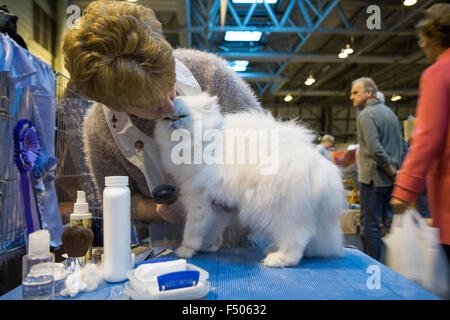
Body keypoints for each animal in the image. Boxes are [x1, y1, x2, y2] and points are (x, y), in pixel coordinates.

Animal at [153, 92, 346, 268]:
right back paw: (273, 250)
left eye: (182, 116)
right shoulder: (217, 205)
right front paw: (208, 246)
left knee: (297, 241)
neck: (202, 142)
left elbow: (192, 231)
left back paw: (278, 259)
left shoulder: (197, 200)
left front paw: (185, 250)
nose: (172, 120)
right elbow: (212, 228)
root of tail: (317, 167)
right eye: (165, 117)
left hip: (283, 213)